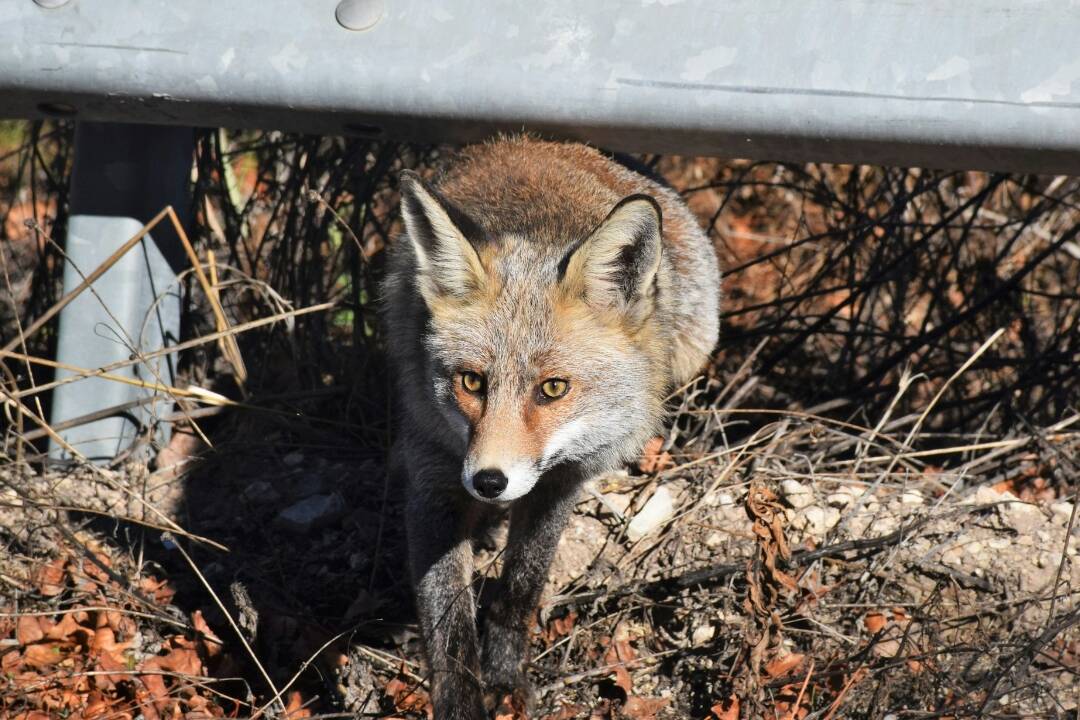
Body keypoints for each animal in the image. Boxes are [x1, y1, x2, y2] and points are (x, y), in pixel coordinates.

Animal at [380, 136, 717, 720]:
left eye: (553, 389)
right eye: (471, 381)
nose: (489, 481)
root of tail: (534, 140)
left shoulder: (565, 475)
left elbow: (522, 584)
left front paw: (505, 675)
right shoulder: (434, 471)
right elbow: (447, 623)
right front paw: (462, 701)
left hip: (698, 338)